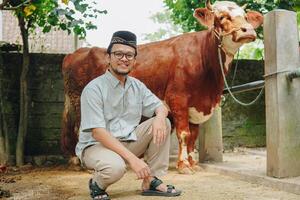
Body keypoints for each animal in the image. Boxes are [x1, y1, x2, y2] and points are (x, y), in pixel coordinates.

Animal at [61, 0, 262, 173]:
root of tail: (76, 53)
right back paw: (81, 163)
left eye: (245, 16)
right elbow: (184, 134)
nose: (248, 30)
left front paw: (193, 163)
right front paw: (184, 166)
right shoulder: (178, 99)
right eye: (221, 16)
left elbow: (193, 136)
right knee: (79, 128)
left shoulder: (196, 106)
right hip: (80, 102)